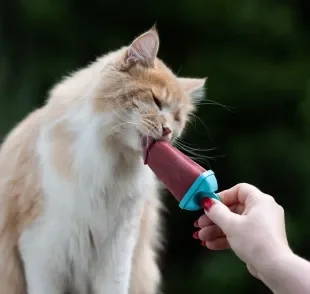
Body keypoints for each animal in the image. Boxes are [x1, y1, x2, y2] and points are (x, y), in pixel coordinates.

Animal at [0, 27, 206, 294]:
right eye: (156, 101)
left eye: (178, 118)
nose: (168, 130)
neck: (110, 160)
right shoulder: (41, 251)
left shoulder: (118, 250)